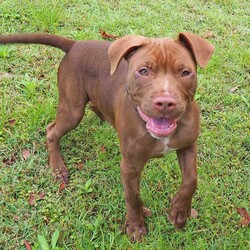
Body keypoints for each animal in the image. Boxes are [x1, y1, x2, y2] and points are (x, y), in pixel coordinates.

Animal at [0, 32, 215, 241]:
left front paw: (180, 210)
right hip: (72, 109)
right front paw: (135, 226)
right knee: (51, 130)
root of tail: (76, 44)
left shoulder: (188, 144)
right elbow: (133, 197)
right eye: (143, 71)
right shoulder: (130, 165)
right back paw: (58, 167)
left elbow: (191, 178)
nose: (165, 102)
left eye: (185, 72)